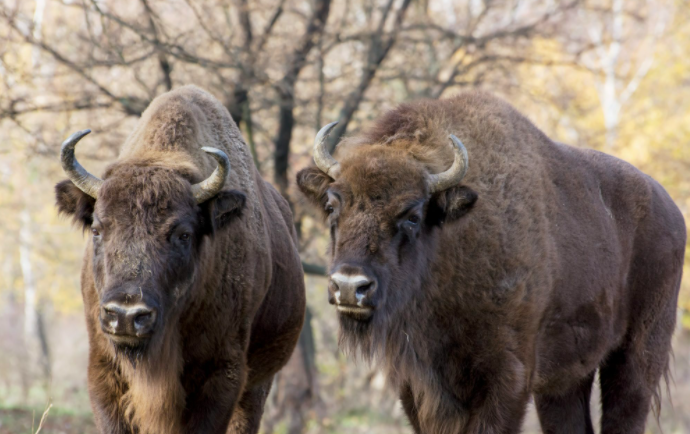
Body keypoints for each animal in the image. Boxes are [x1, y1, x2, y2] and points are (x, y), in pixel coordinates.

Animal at [56, 85, 305, 434]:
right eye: (97, 229)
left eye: (183, 234)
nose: (126, 315)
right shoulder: (104, 370)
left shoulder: (222, 375)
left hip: (258, 384)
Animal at [297, 92, 686, 434]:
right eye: (332, 205)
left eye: (412, 215)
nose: (350, 286)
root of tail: (673, 212)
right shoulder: (415, 383)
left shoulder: (509, 378)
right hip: (566, 379)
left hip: (637, 355)